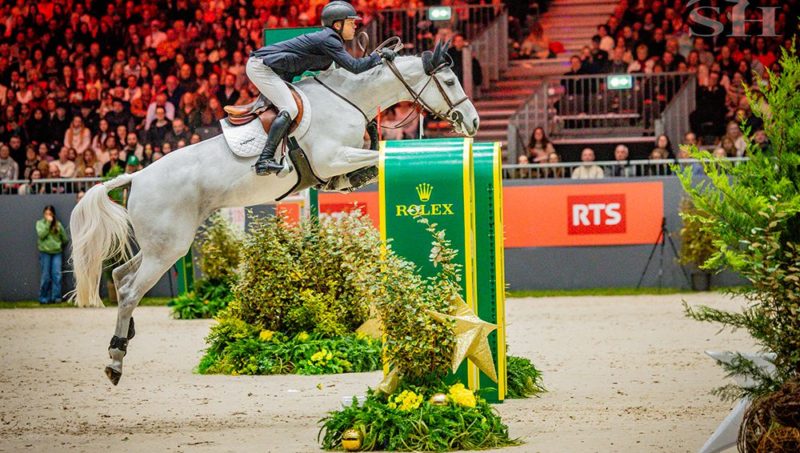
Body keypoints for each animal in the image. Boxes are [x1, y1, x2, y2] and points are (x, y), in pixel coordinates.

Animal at [69, 42, 480, 385]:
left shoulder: (338, 168)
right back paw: (115, 360)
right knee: (130, 291)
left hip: (160, 245)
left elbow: (369, 163)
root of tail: (137, 176)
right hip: (168, 248)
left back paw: (123, 340)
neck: (347, 99)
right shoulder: (332, 158)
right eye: (448, 79)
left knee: (121, 276)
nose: (473, 122)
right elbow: (376, 156)